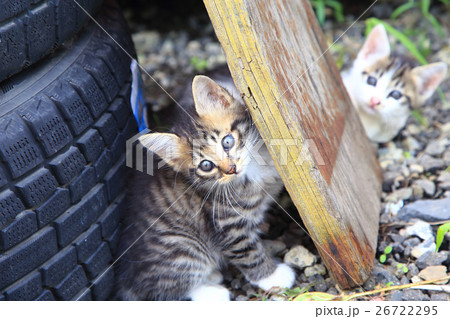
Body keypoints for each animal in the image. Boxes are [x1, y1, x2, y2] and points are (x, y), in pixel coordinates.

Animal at [117, 74, 296, 302]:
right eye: (206, 165)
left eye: (227, 141)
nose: (231, 169)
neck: (252, 171)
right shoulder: (226, 225)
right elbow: (247, 252)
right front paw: (273, 277)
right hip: (183, 247)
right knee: (173, 287)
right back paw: (213, 290)